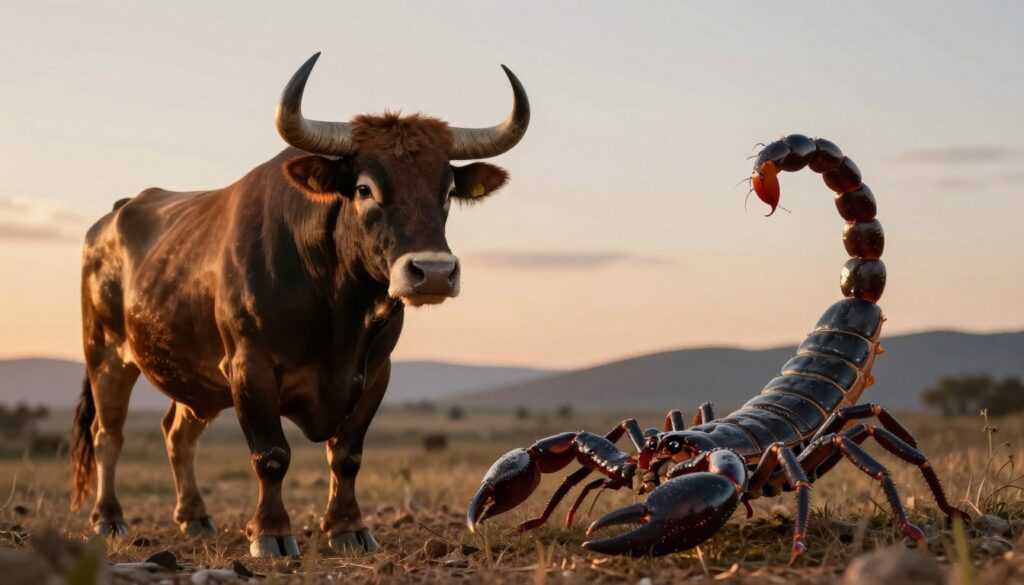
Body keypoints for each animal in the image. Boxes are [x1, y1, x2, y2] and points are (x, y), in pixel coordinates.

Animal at [69, 52, 530, 557]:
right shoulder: (249, 367)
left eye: (447, 191)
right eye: (365, 189)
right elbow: (271, 455)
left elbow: (347, 455)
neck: (336, 308)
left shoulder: (376, 372)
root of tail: (114, 216)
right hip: (107, 356)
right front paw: (271, 532)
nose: (432, 272)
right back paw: (108, 518)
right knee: (108, 436)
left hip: (193, 372)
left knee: (178, 434)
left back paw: (194, 516)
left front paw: (347, 526)